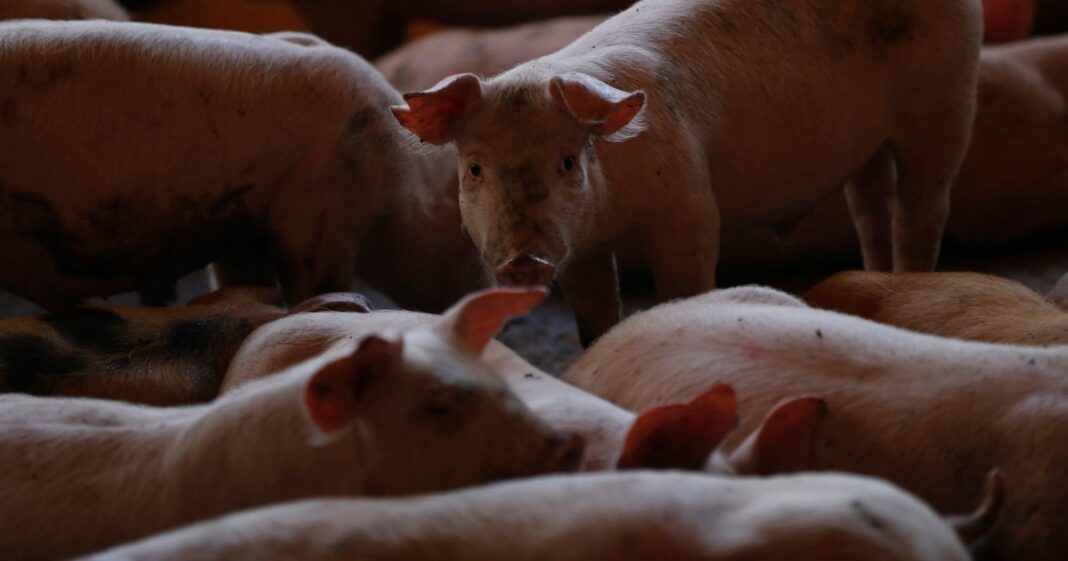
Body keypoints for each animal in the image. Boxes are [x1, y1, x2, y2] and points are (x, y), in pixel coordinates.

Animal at [392, 0, 983, 345]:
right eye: (474, 168)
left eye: (566, 161)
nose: (523, 258)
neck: (617, 214)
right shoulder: (582, 244)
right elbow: (593, 314)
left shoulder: (689, 202)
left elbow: (685, 281)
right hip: (867, 149)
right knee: (870, 207)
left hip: (947, 99)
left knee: (923, 207)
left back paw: (911, 279)